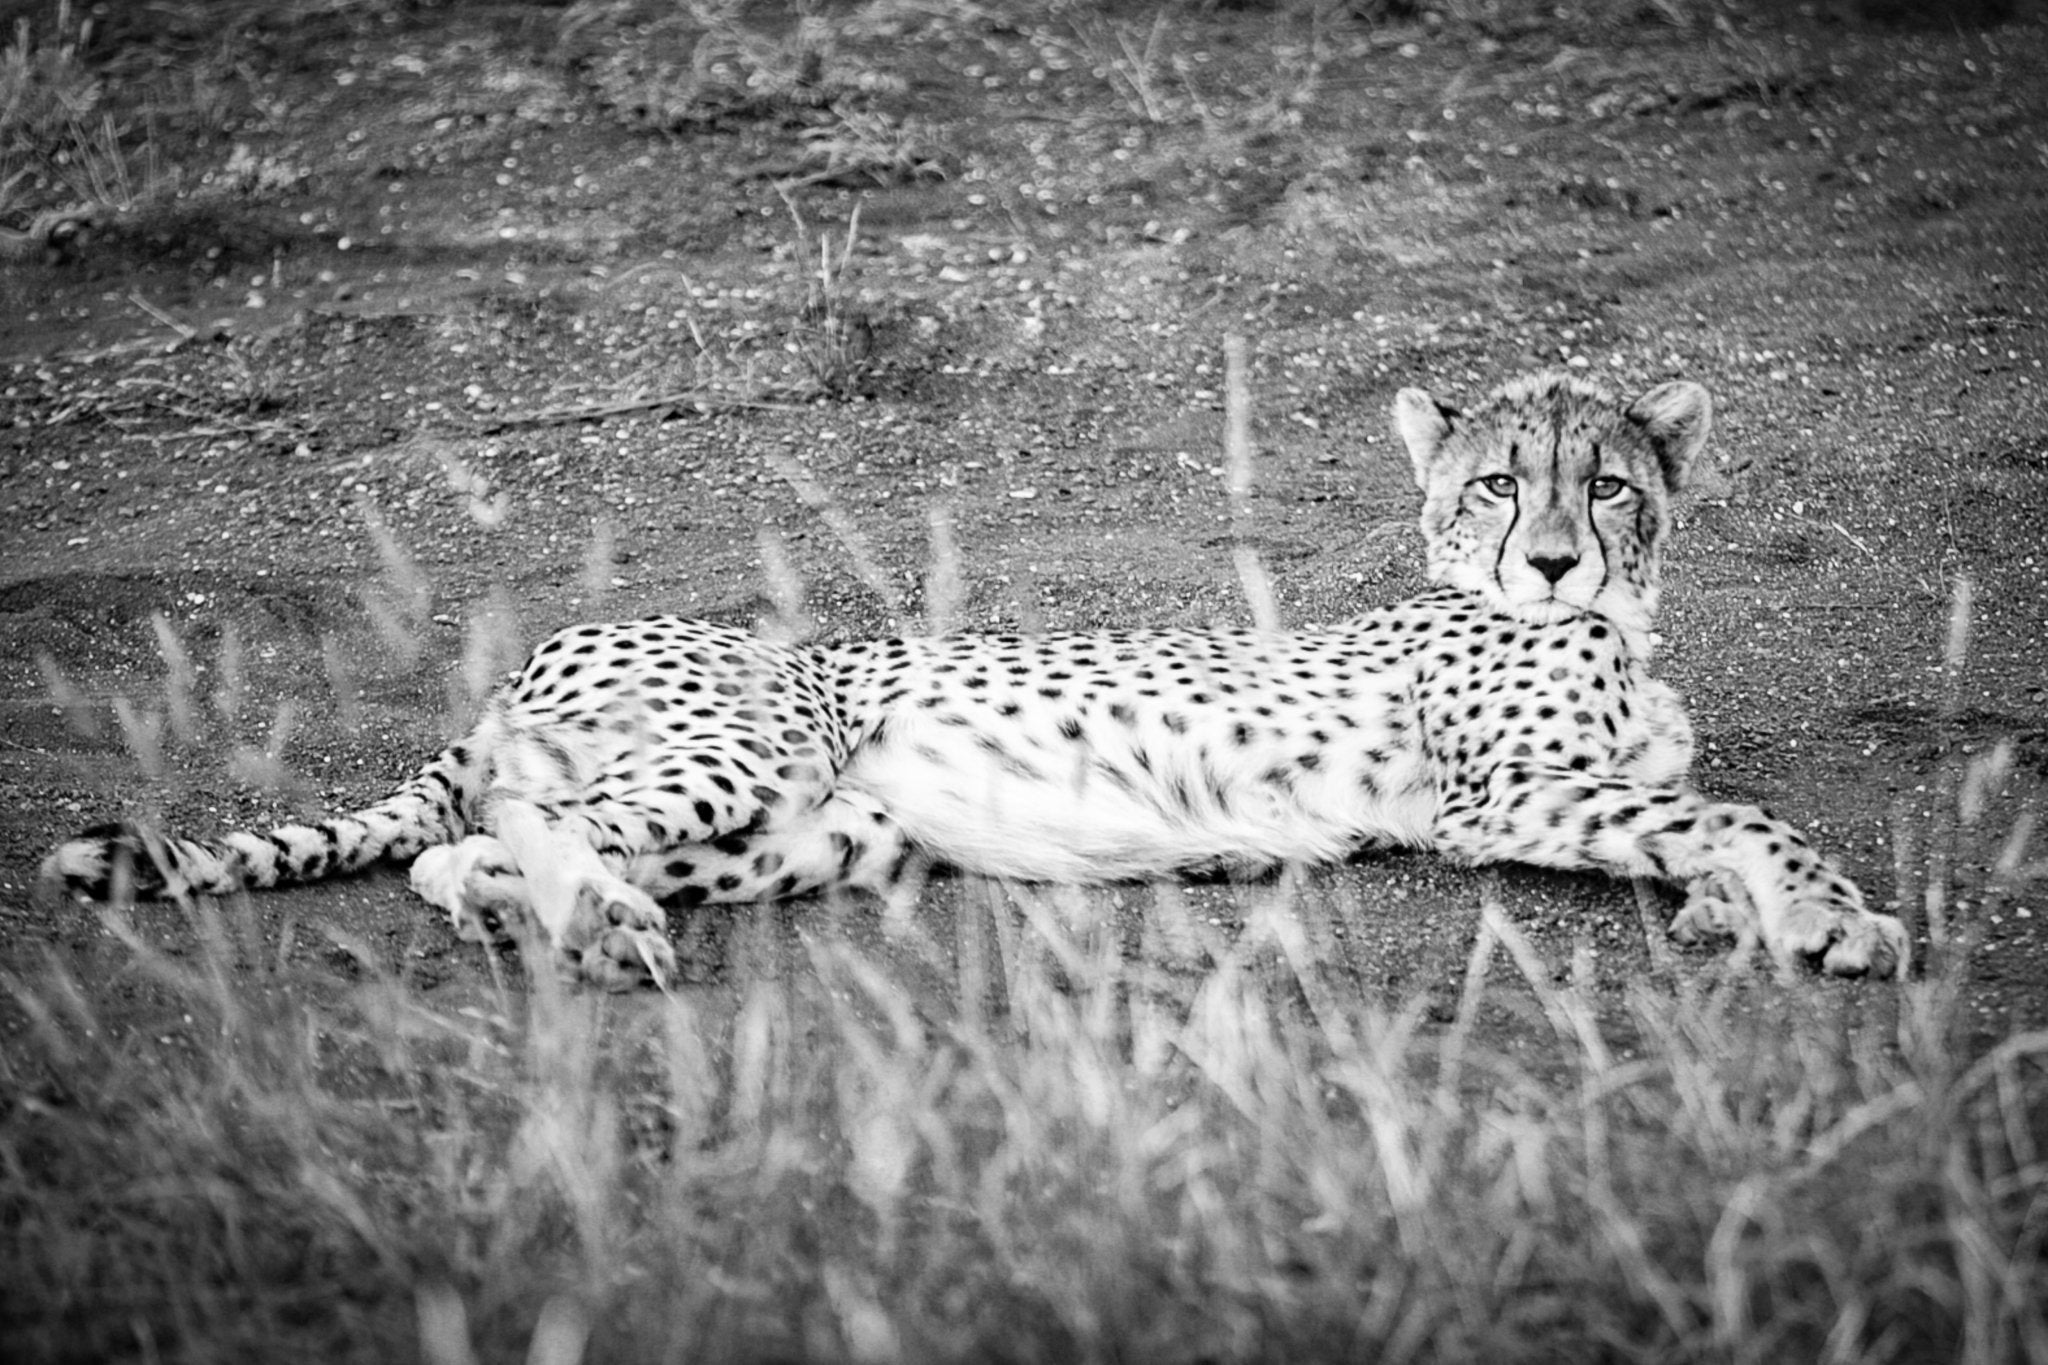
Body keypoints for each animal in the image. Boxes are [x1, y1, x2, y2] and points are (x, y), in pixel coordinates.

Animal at [41, 372, 1911, 989]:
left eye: (1609, 485)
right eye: (1497, 486)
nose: (1553, 562)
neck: (1617, 630)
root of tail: (542, 649)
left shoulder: (1565, 794)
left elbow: (1696, 818)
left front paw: (1739, 915)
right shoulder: (1487, 796)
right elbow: (1742, 809)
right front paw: (1836, 916)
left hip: (812, 837)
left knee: (462, 852)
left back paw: (557, 923)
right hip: (734, 761)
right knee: (515, 830)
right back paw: (600, 934)